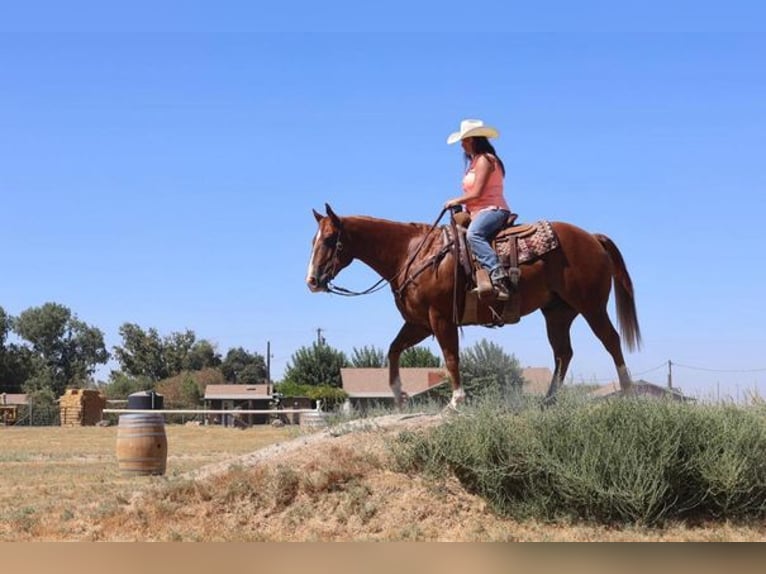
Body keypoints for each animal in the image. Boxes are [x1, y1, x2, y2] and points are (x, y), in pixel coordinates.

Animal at [306, 203, 641, 410]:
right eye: (313, 240)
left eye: (330, 239)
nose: (312, 280)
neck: (412, 253)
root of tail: (593, 238)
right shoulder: (419, 323)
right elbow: (393, 349)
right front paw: (399, 394)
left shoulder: (441, 318)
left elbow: (451, 357)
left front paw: (456, 400)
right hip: (557, 313)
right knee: (563, 353)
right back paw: (548, 401)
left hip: (591, 305)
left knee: (611, 340)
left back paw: (627, 392)